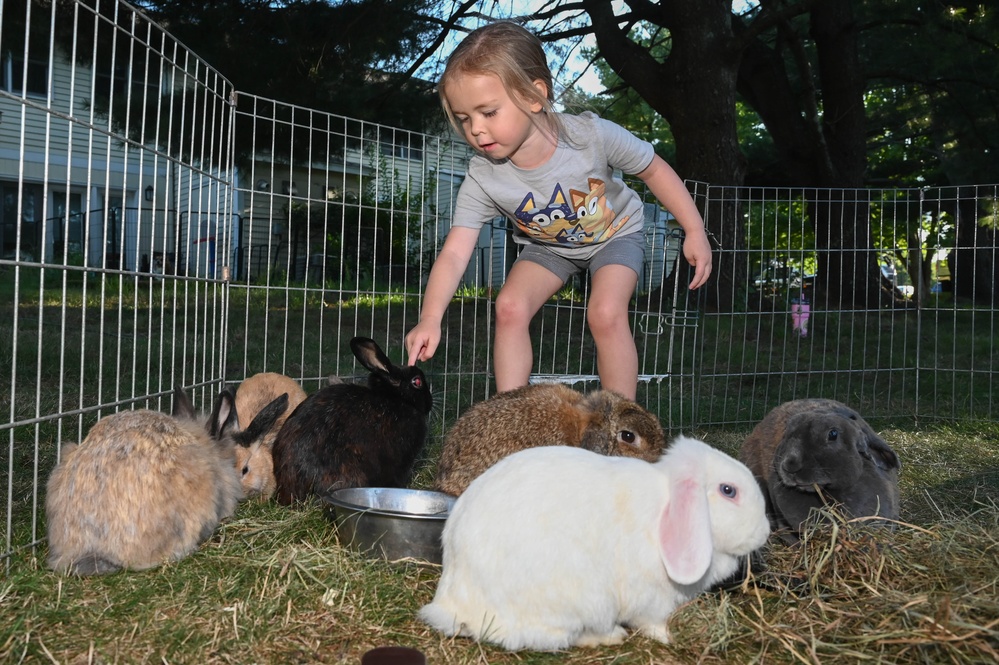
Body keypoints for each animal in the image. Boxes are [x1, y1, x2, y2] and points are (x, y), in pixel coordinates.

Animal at [418, 436, 768, 648]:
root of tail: (453, 603)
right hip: (582, 604)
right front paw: (667, 638)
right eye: (728, 491)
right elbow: (652, 622)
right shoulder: (651, 599)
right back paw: (612, 636)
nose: (764, 531)